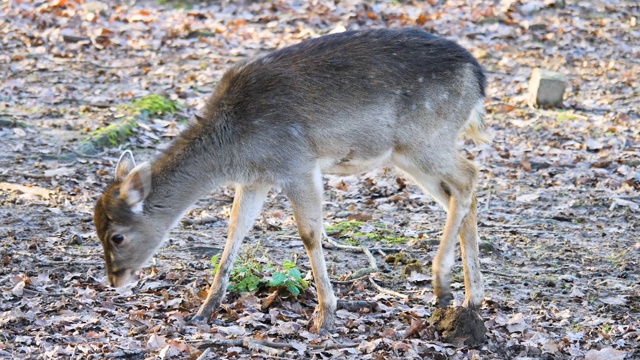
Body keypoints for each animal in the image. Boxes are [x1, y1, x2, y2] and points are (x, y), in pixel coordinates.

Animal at [92, 27, 488, 332]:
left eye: (117, 236)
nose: (114, 280)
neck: (233, 150)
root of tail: (479, 78)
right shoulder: (256, 179)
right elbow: (234, 230)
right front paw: (203, 311)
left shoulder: (297, 163)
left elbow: (310, 233)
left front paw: (325, 315)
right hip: (408, 153)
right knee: (459, 194)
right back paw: (472, 299)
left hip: (424, 139)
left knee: (469, 175)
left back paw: (442, 284)